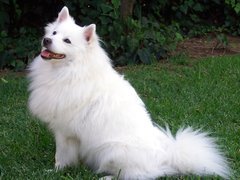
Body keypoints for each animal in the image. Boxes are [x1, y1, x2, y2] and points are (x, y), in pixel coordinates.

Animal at [28, 6, 231, 179]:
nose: (46, 40)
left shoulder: (65, 132)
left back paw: (107, 177)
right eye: (54, 33)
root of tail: (167, 155)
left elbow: (61, 156)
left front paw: (55, 171)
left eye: (67, 41)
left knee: (134, 174)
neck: (70, 71)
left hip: (112, 152)